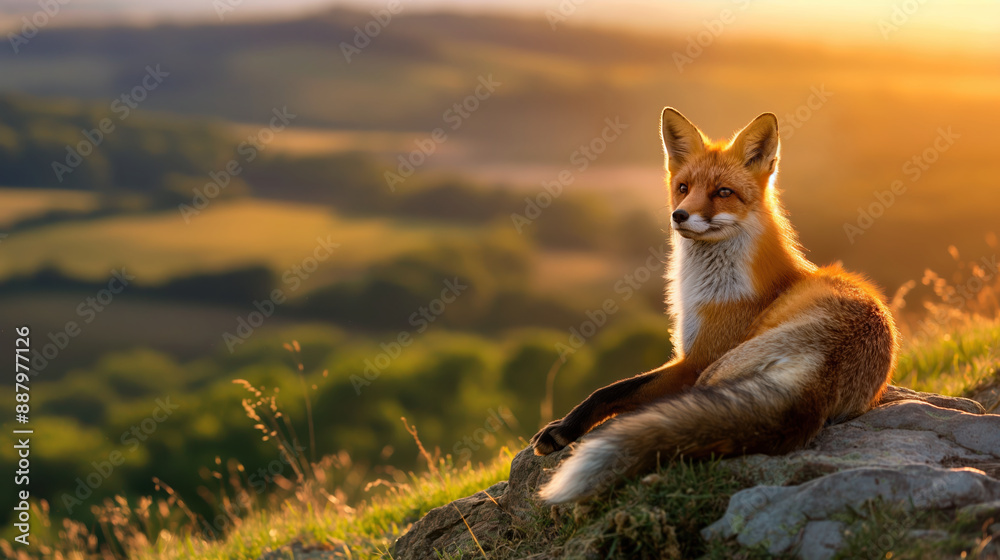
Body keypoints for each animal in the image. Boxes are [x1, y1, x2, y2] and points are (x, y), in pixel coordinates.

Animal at [531, 108, 902, 504]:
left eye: (723, 192)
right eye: (683, 188)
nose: (679, 215)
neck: (709, 288)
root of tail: (822, 372)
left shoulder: (695, 361)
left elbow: (612, 390)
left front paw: (564, 428)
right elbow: (614, 388)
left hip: (712, 375)